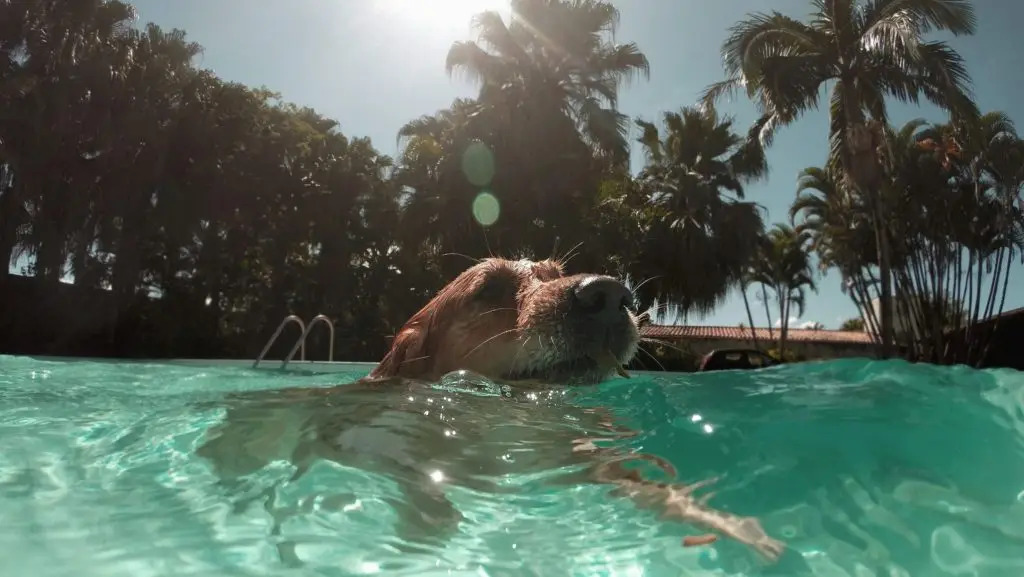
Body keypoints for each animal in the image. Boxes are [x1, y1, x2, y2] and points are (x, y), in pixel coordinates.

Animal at [193, 258, 782, 565]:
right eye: (492, 288)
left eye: (558, 270)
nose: (614, 294)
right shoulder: (375, 437)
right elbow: (410, 472)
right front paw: (427, 527)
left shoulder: (571, 452)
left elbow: (640, 481)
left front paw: (723, 524)